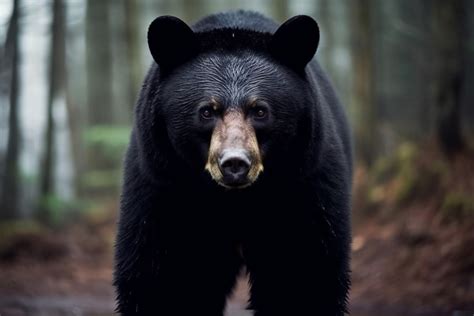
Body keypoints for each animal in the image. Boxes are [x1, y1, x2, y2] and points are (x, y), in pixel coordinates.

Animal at [115, 9, 352, 316]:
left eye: (260, 111)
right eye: (206, 111)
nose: (235, 163)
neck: (233, 202)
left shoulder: (305, 184)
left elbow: (304, 271)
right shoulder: (162, 186)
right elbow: (163, 274)